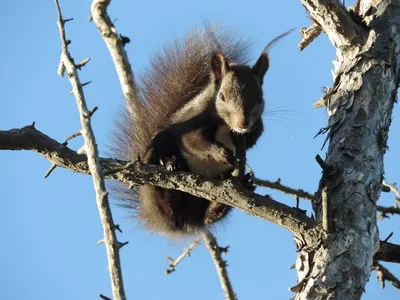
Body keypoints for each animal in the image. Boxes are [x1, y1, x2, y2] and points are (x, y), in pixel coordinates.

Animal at [113, 27, 290, 237]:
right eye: (222, 96)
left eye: (261, 98)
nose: (243, 123)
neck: (224, 125)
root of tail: (183, 223)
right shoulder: (189, 121)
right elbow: (192, 141)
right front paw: (221, 153)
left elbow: (253, 138)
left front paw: (245, 138)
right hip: (159, 148)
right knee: (163, 199)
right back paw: (171, 166)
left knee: (206, 215)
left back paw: (224, 202)